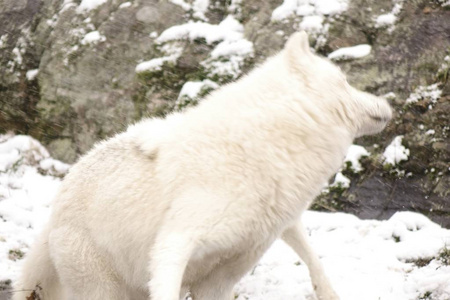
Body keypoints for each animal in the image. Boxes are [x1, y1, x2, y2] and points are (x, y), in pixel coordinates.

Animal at [14, 31, 392, 298]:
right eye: (345, 82)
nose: (387, 103)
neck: (257, 149)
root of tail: (56, 209)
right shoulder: (175, 242)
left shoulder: (237, 263)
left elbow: (312, 256)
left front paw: (328, 292)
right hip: (104, 289)